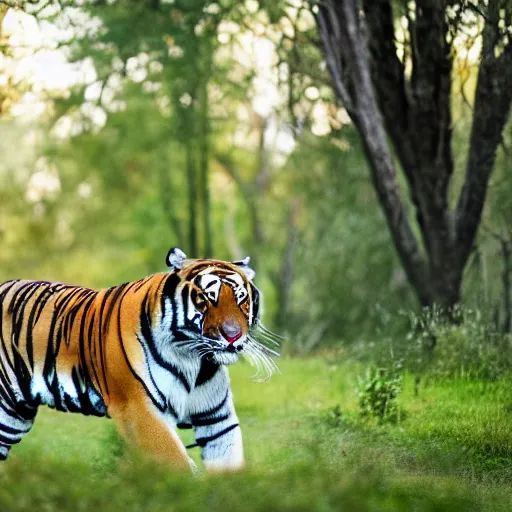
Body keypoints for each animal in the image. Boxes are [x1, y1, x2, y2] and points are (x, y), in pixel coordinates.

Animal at [0, 248, 278, 472]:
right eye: (205, 298)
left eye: (241, 299)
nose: (233, 335)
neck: (194, 360)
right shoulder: (138, 410)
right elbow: (177, 462)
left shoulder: (217, 417)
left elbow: (229, 461)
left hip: (14, 417)